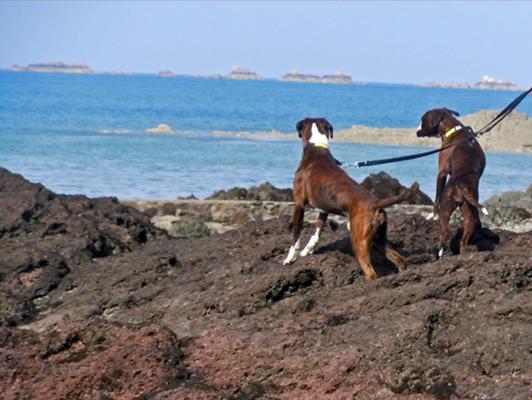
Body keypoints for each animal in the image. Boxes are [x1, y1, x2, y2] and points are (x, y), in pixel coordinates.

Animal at [282, 117, 420, 280]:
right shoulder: (323, 209)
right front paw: (307, 250)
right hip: (378, 239)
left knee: (370, 272)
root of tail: (375, 202)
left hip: (359, 241)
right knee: (399, 259)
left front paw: (290, 258)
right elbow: (317, 233)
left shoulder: (299, 205)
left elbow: (295, 236)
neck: (317, 148)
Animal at [418, 107, 488, 256]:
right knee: (463, 241)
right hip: (468, 214)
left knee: (444, 234)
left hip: (445, 210)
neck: (454, 130)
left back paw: (440, 253)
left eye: (422, 120)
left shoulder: (442, 173)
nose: (417, 131)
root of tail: (462, 186)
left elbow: (436, 197)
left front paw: (432, 214)